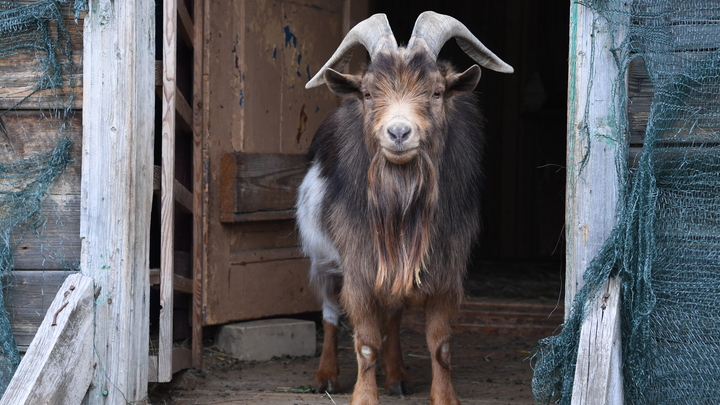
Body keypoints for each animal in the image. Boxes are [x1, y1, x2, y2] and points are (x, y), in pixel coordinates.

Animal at [296, 11, 516, 402]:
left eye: (437, 92)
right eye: (369, 93)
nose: (398, 133)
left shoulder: (446, 270)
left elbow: (440, 344)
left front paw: (443, 396)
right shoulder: (359, 268)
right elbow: (366, 343)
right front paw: (363, 397)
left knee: (395, 317)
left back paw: (397, 375)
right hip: (323, 260)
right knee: (330, 312)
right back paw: (325, 376)